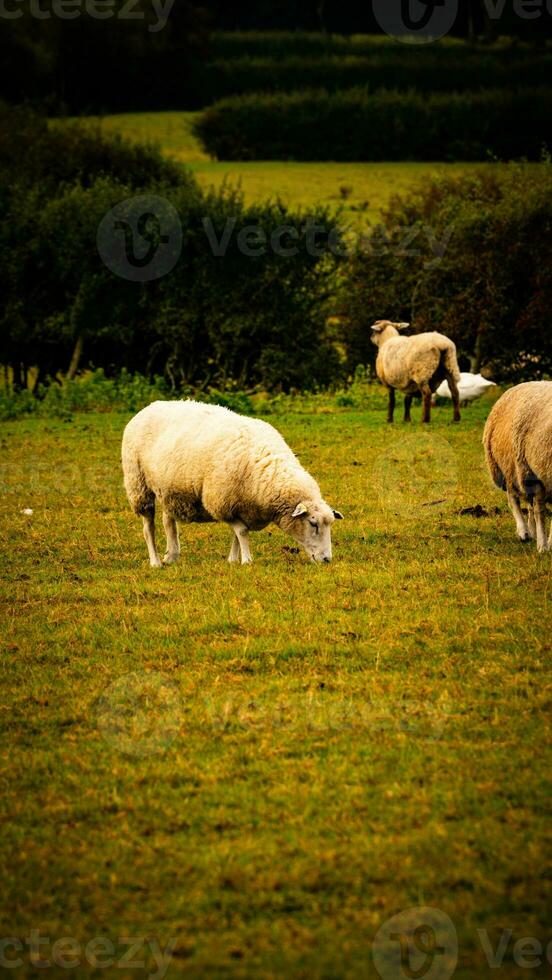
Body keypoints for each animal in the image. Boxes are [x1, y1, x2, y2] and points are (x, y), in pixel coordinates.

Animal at [123, 400, 342, 568]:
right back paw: (155, 562)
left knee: (168, 522)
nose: (326, 559)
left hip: (169, 490)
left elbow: (237, 534)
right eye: (313, 524)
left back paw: (171, 555)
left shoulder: (241, 506)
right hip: (138, 485)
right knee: (148, 527)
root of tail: (149, 407)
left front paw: (233, 559)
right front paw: (246, 560)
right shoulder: (220, 502)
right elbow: (242, 531)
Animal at [484, 380, 552, 552]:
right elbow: (539, 511)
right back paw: (524, 532)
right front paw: (543, 546)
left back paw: (532, 532)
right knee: (515, 499)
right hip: (516, 468)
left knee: (530, 504)